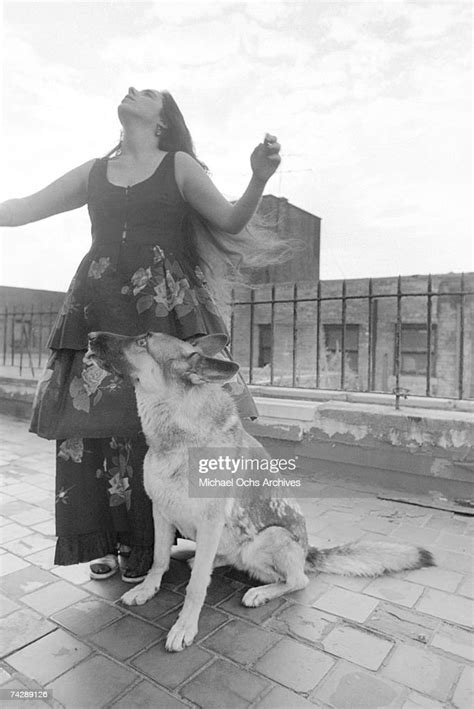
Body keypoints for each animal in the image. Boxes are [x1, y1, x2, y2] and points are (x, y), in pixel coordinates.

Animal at [85, 332, 434, 652]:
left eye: (142, 342)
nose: (90, 336)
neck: (178, 436)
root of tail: (308, 552)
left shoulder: (209, 523)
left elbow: (196, 588)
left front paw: (185, 626)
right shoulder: (160, 512)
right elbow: (158, 559)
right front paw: (147, 590)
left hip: (265, 541)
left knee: (295, 580)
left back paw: (259, 591)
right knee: (218, 560)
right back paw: (203, 559)